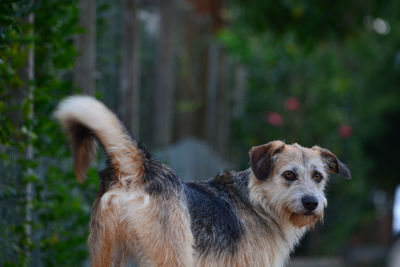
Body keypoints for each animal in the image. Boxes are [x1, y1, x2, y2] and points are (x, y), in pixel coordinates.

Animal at [55, 97, 350, 267]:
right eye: (289, 175)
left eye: (318, 177)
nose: (311, 203)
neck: (258, 203)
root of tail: (137, 167)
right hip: (171, 258)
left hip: (107, 256)